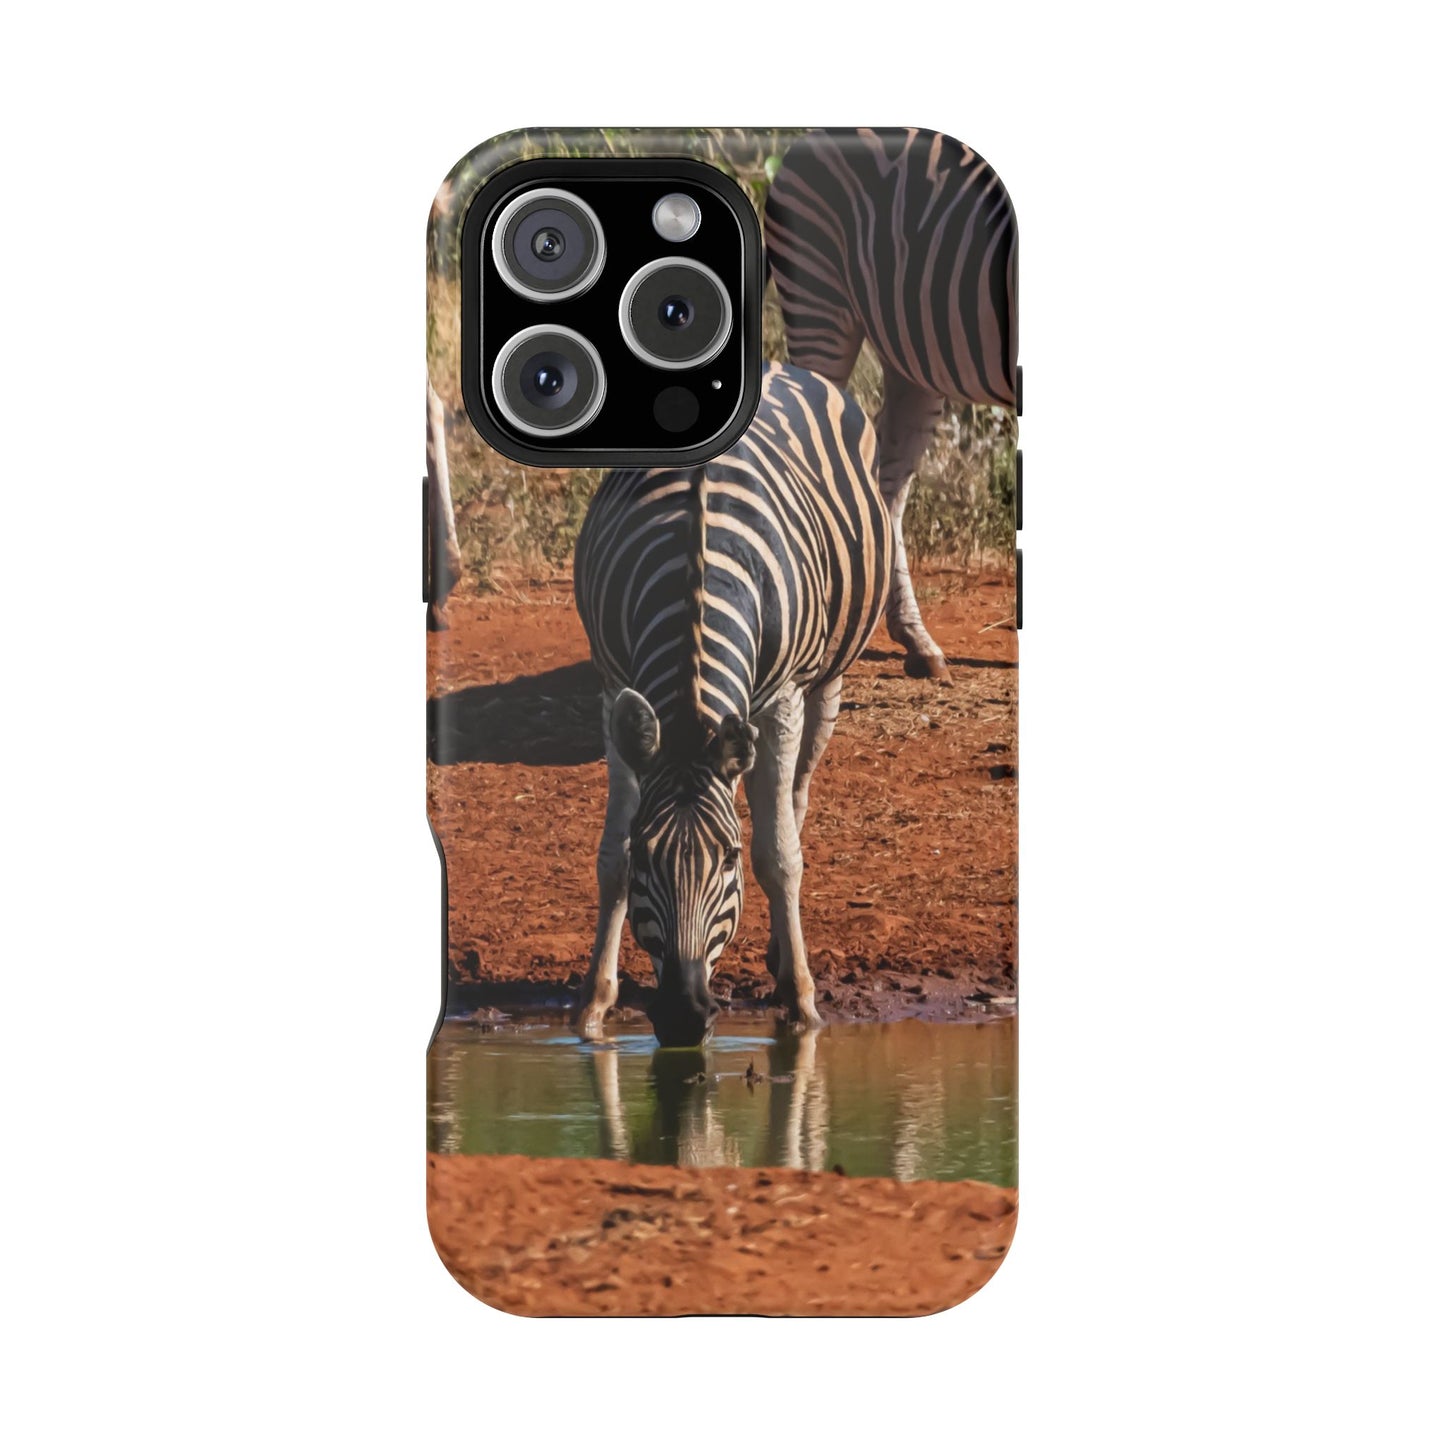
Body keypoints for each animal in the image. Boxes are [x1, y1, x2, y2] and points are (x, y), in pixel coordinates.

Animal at [573, 361, 892, 1046]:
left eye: (728, 859)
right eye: (649, 855)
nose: (683, 1016)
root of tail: (774, 363)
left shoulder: (782, 699)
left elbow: (779, 856)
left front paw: (801, 1004)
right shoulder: (613, 686)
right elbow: (610, 858)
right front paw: (593, 1004)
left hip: (825, 682)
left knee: (794, 801)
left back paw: (782, 956)